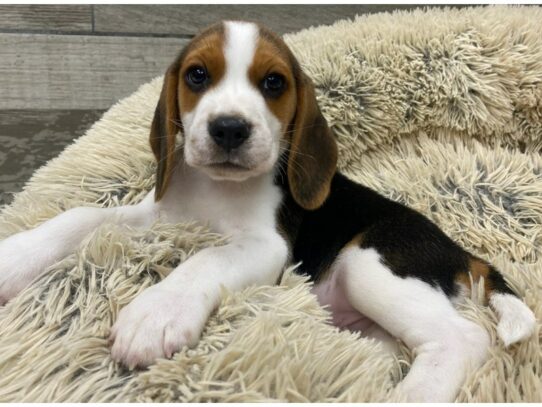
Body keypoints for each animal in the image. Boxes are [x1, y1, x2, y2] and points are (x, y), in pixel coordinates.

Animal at [0, 21, 536, 402]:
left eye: (274, 83)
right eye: (197, 75)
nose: (229, 128)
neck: (218, 189)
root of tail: (460, 251)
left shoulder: (265, 246)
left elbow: (207, 259)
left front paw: (156, 311)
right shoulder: (162, 216)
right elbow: (82, 216)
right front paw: (15, 256)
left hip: (369, 264)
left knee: (463, 339)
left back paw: (409, 396)